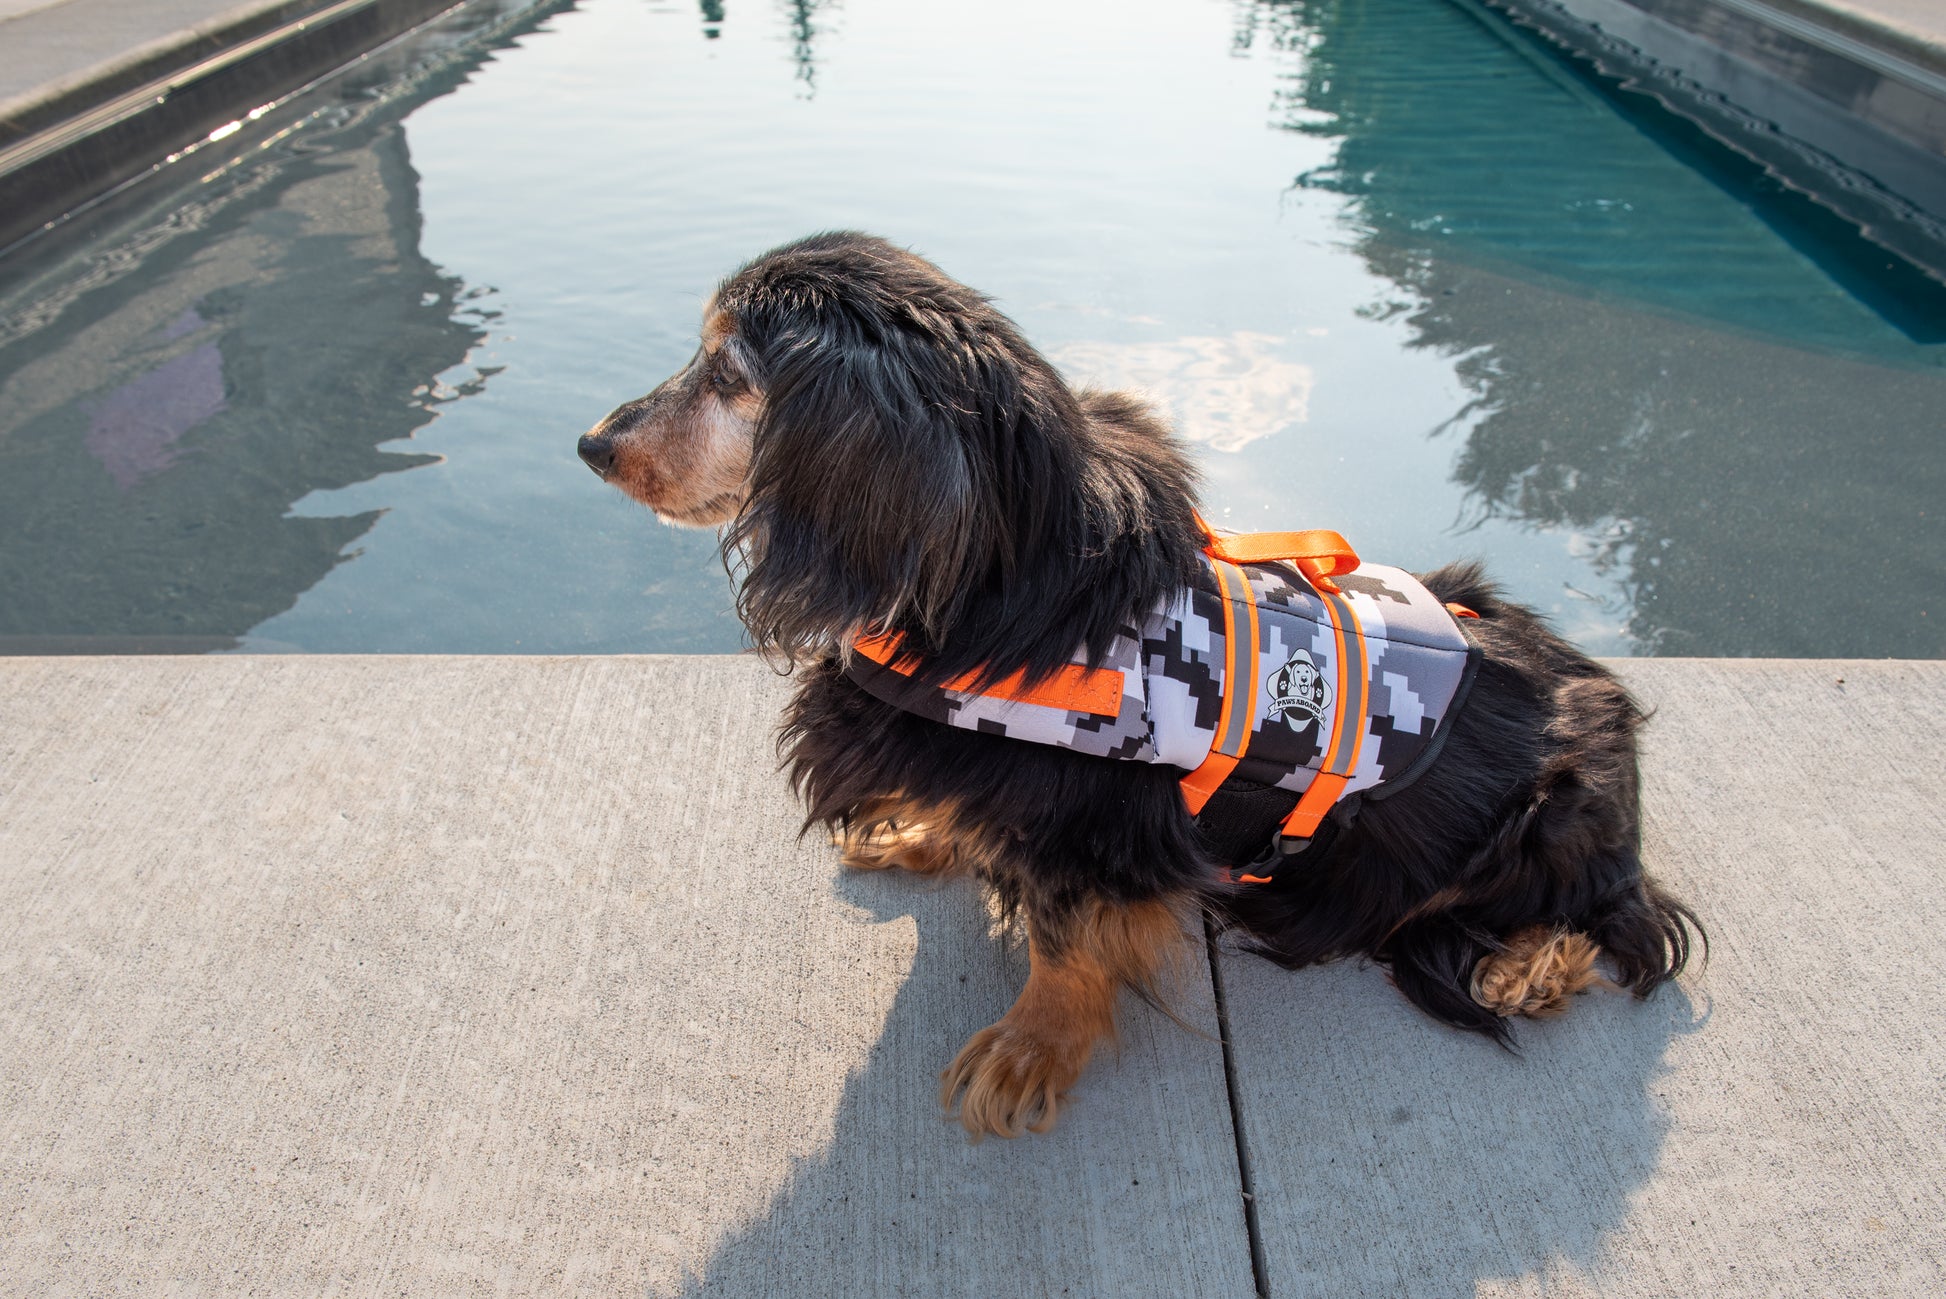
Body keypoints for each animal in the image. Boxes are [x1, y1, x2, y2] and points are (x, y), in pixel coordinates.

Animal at [576, 230, 1704, 1135]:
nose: (591, 445)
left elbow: (1066, 943)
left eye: (730, 374)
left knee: (1616, 913)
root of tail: (1604, 706)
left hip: (1546, 815)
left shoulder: (1098, 827)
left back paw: (1530, 964)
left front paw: (1029, 1049)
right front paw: (922, 833)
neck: (1001, 592)